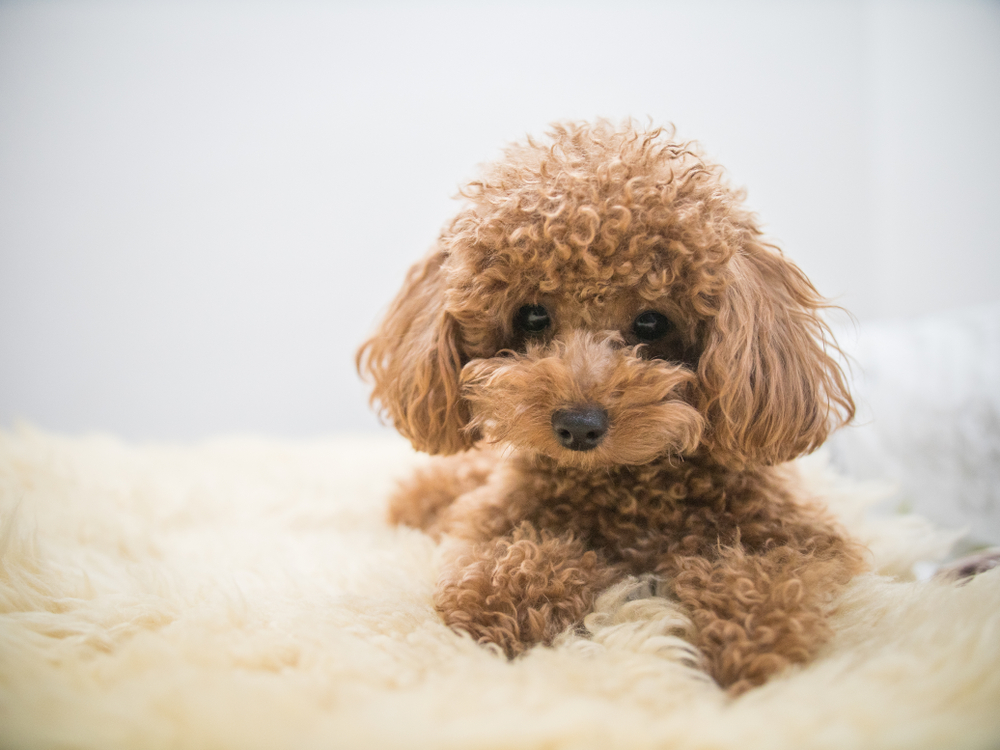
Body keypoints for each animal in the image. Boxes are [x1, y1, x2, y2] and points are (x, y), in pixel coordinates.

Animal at [358, 120, 868, 696]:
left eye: (651, 322)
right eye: (532, 316)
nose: (578, 427)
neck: (626, 488)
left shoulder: (804, 537)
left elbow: (766, 571)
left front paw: (754, 641)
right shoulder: (493, 521)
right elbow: (512, 556)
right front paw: (499, 600)